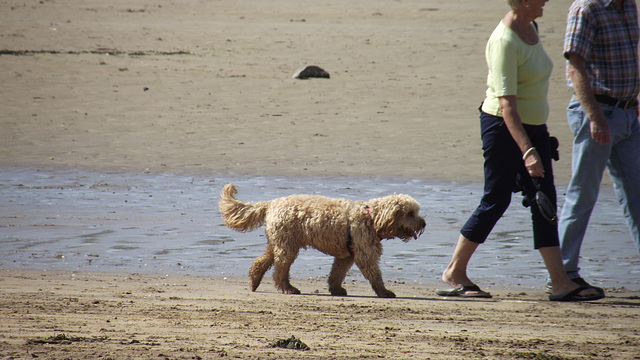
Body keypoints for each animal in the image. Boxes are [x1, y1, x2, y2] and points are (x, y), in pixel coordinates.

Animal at [219, 184, 424, 296]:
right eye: (410, 213)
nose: (424, 223)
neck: (371, 217)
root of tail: (271, 203)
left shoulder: (346, 256)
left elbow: (336, 274)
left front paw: (336, 289)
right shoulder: (365, 254)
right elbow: (375, 275)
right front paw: (384, 292)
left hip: (278, 242)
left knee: (261, 262)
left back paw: (255, 281)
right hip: (287, 246)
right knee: (280, 271)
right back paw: (288, 288)